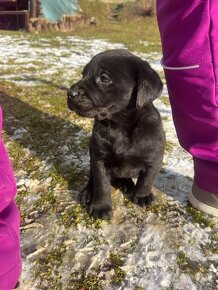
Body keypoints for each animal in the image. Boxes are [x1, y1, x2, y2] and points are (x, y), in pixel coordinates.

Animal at [67, 49, 164, 220]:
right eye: (83, 74)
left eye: (104, 78)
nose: (69, 93)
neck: (119, 127)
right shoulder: (99, 160)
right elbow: (101, 185)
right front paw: (101, 207)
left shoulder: (154, 159)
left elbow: (147, 180)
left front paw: (142, 196)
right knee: (92, 177)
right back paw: (87, 192)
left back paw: (126, 184)